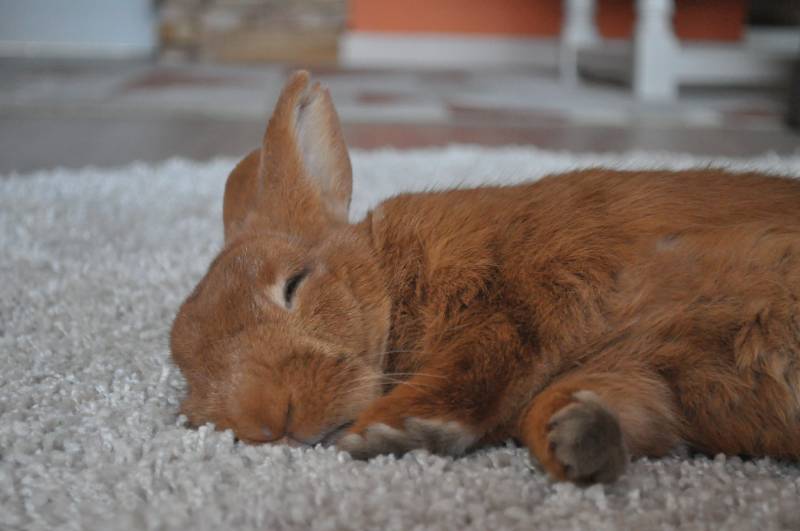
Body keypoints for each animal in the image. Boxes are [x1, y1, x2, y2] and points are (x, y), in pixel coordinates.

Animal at [170, 70, 800, 484]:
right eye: (185, 364)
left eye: (294, 284)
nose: (267, 418)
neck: (390, 281)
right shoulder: (632, 372)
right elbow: (603, 406)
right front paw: (578, 441)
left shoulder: (531, 294)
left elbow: (481, 359)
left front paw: (391, 432)